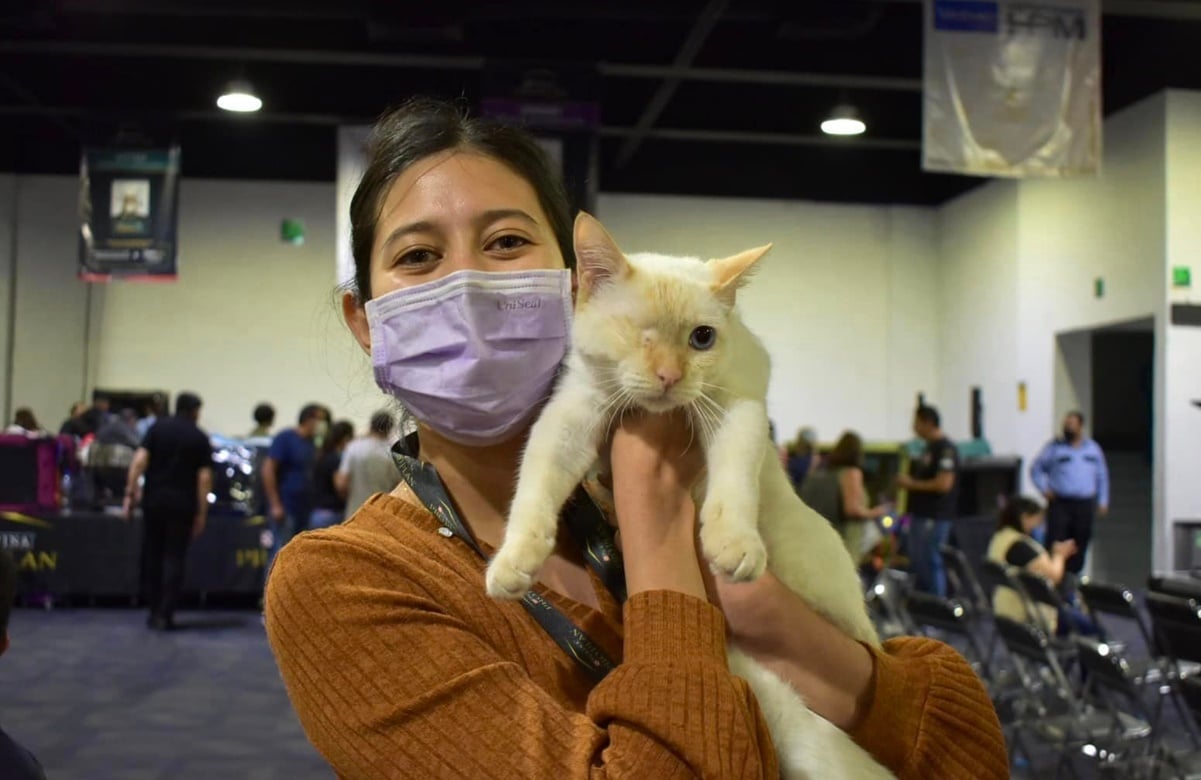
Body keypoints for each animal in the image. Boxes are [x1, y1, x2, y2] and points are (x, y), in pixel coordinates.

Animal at [485, 212, 893, 778]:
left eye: (703, 338)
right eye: (638, 332)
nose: (669, 376)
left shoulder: (738, 408)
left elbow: (735, 478)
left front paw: (733, 542)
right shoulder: (571, 415)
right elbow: (534, 484)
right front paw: (514, 561)